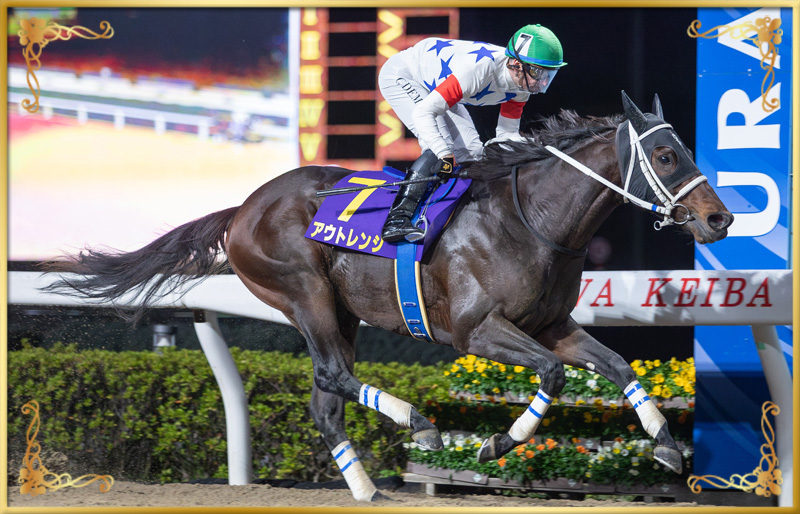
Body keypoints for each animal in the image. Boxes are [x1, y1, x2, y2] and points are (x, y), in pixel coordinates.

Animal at [43, 92, 733, 501]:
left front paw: (666, 447)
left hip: (340, 311)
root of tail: (242, 208)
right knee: (332, 375)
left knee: (326, 403)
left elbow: (615, 365)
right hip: (305, 292)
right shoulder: (477, 330)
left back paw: (369, 490)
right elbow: (554, 374)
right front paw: (494, 443)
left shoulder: (551, 324)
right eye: (666, 154)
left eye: (686, 148)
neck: (530, 220)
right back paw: (419, 425)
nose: (718, 219)